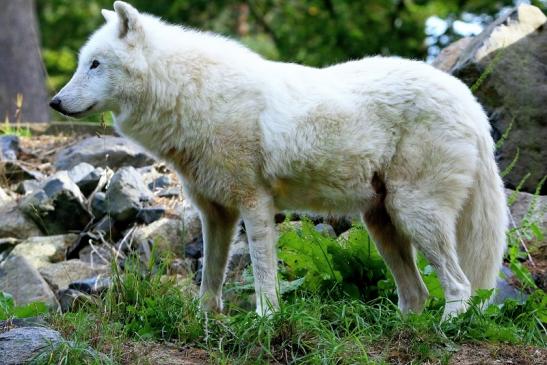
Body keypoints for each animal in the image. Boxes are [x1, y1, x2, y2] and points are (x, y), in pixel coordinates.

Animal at [51, 0, 510, 318]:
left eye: (96, 64)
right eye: (82, 63)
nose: (55, 102)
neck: (190, 95)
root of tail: (469, 102)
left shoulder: (254, 203)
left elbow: (261, 270)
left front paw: (266, 318)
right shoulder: (215, 213)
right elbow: (210, 277)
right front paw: (203, 320)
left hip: (414, 214)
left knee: (460, 285)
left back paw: (448, 327)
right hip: (381, 222)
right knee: (418, 295)